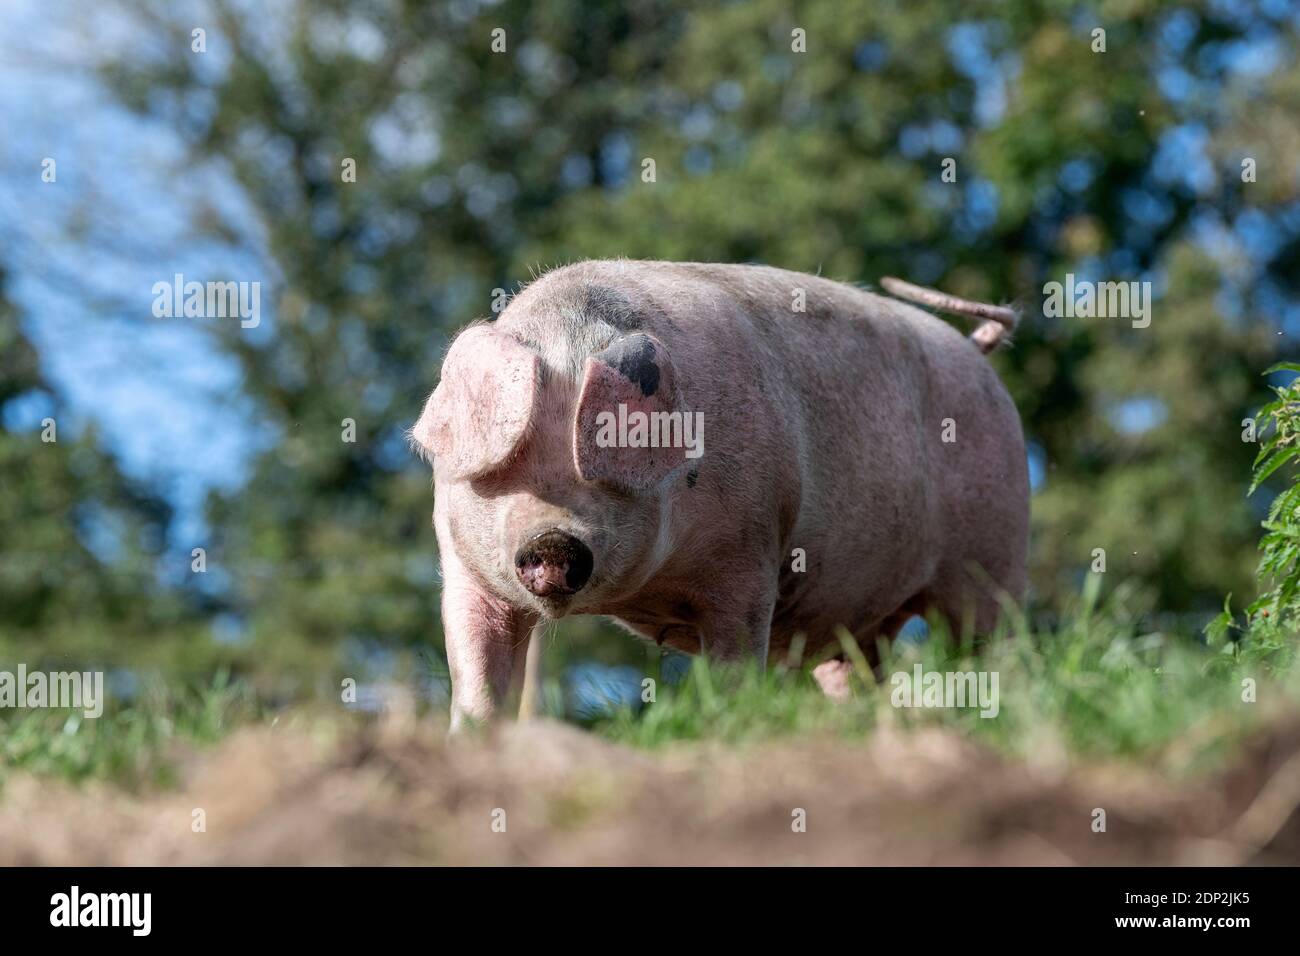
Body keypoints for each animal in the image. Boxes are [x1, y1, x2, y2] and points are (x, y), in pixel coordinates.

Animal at [411, 261, 1029, 728]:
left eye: (607, 472)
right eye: (512, 467)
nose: (552, 542)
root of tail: (977, 353)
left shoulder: (751, 552)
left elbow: (736, 656)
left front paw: (730, 719)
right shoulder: (461, 563)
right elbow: (476, 666)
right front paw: (472, 739)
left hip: (993, 552)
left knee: (989, 641)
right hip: (856, 616)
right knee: (854, 669)